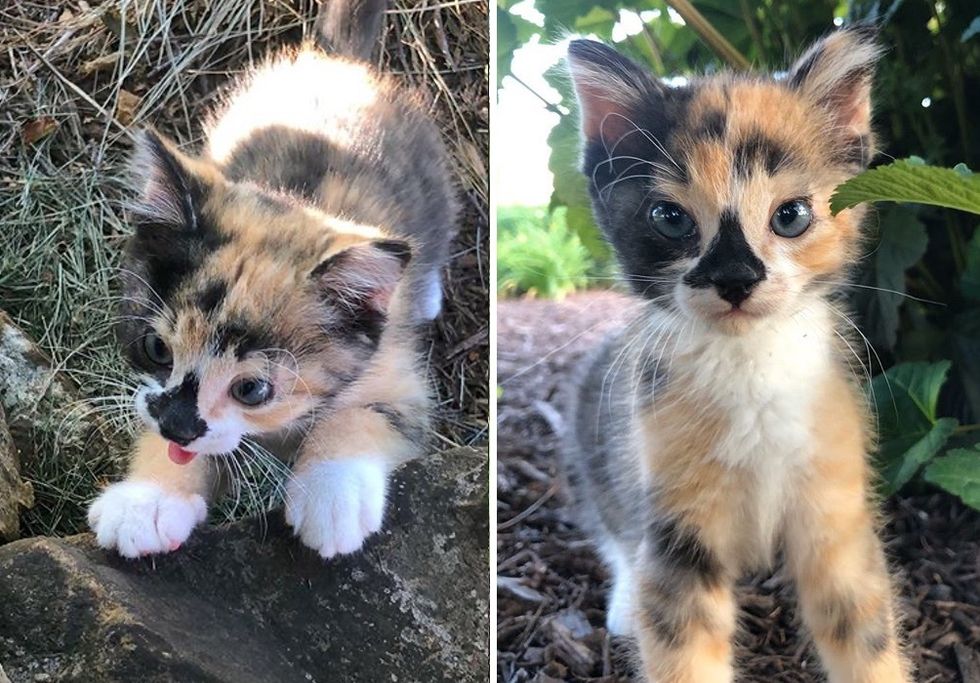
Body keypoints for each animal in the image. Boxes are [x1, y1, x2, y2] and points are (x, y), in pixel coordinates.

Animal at [88, 0, 456, 560]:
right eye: (155, 348)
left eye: (253, 389)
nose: (177, 424)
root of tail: (337, 61)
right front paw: (148, 499)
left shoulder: (399, 376)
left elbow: (364, 414)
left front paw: (332, 493)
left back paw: (427, 290)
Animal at [564, 25, 916, 683]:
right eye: (670, 218)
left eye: (792, 215)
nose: (735, 277)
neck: (751, 367)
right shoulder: (675, 527)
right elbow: (680, 640)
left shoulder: (837, 515)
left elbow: (862, 628)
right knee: (615, 528)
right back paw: (624, 601)